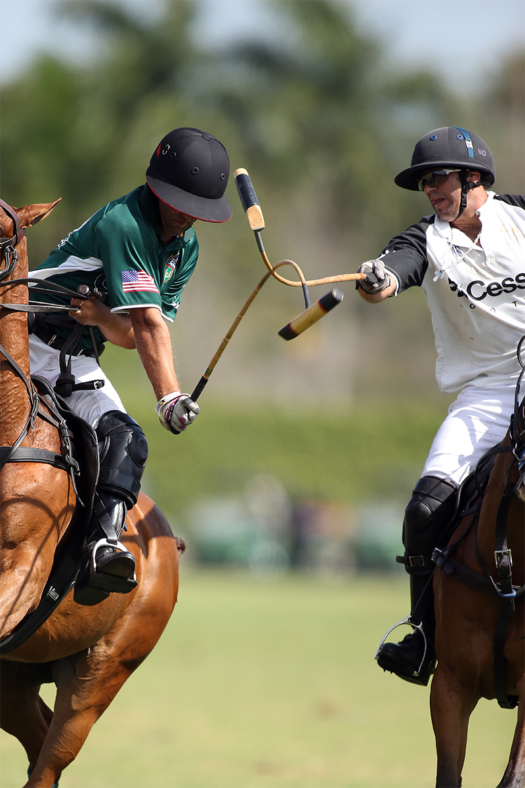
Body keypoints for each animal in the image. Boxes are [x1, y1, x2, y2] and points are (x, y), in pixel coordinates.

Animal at [0, 200, 183, 784]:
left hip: (102, 670)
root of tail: (165, 539)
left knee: (50, 759)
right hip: (16, 675)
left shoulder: (22, 570)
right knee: (37, 743)